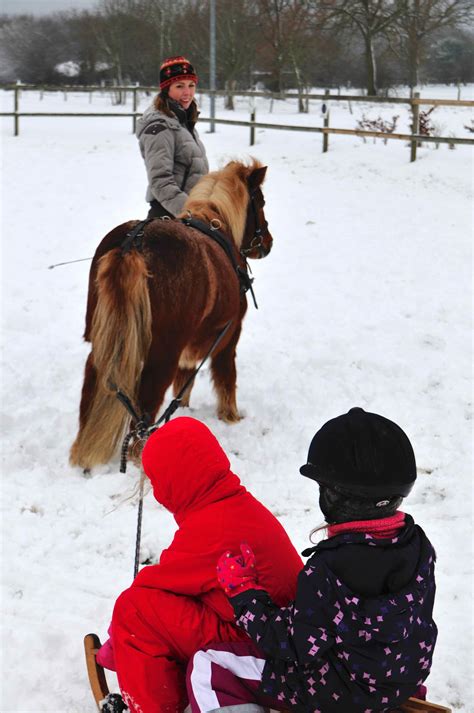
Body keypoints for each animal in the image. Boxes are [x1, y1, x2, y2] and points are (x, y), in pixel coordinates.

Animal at [68, 159, 272, 470]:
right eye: (260, 201)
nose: (268, 243)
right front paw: (231, 416)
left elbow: (183, 382)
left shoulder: (189, 346)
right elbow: (227, 378)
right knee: (144, 410)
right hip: (162, 354)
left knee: (94, 384)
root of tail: (132, 245)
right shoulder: (228, 336)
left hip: (102, 343)